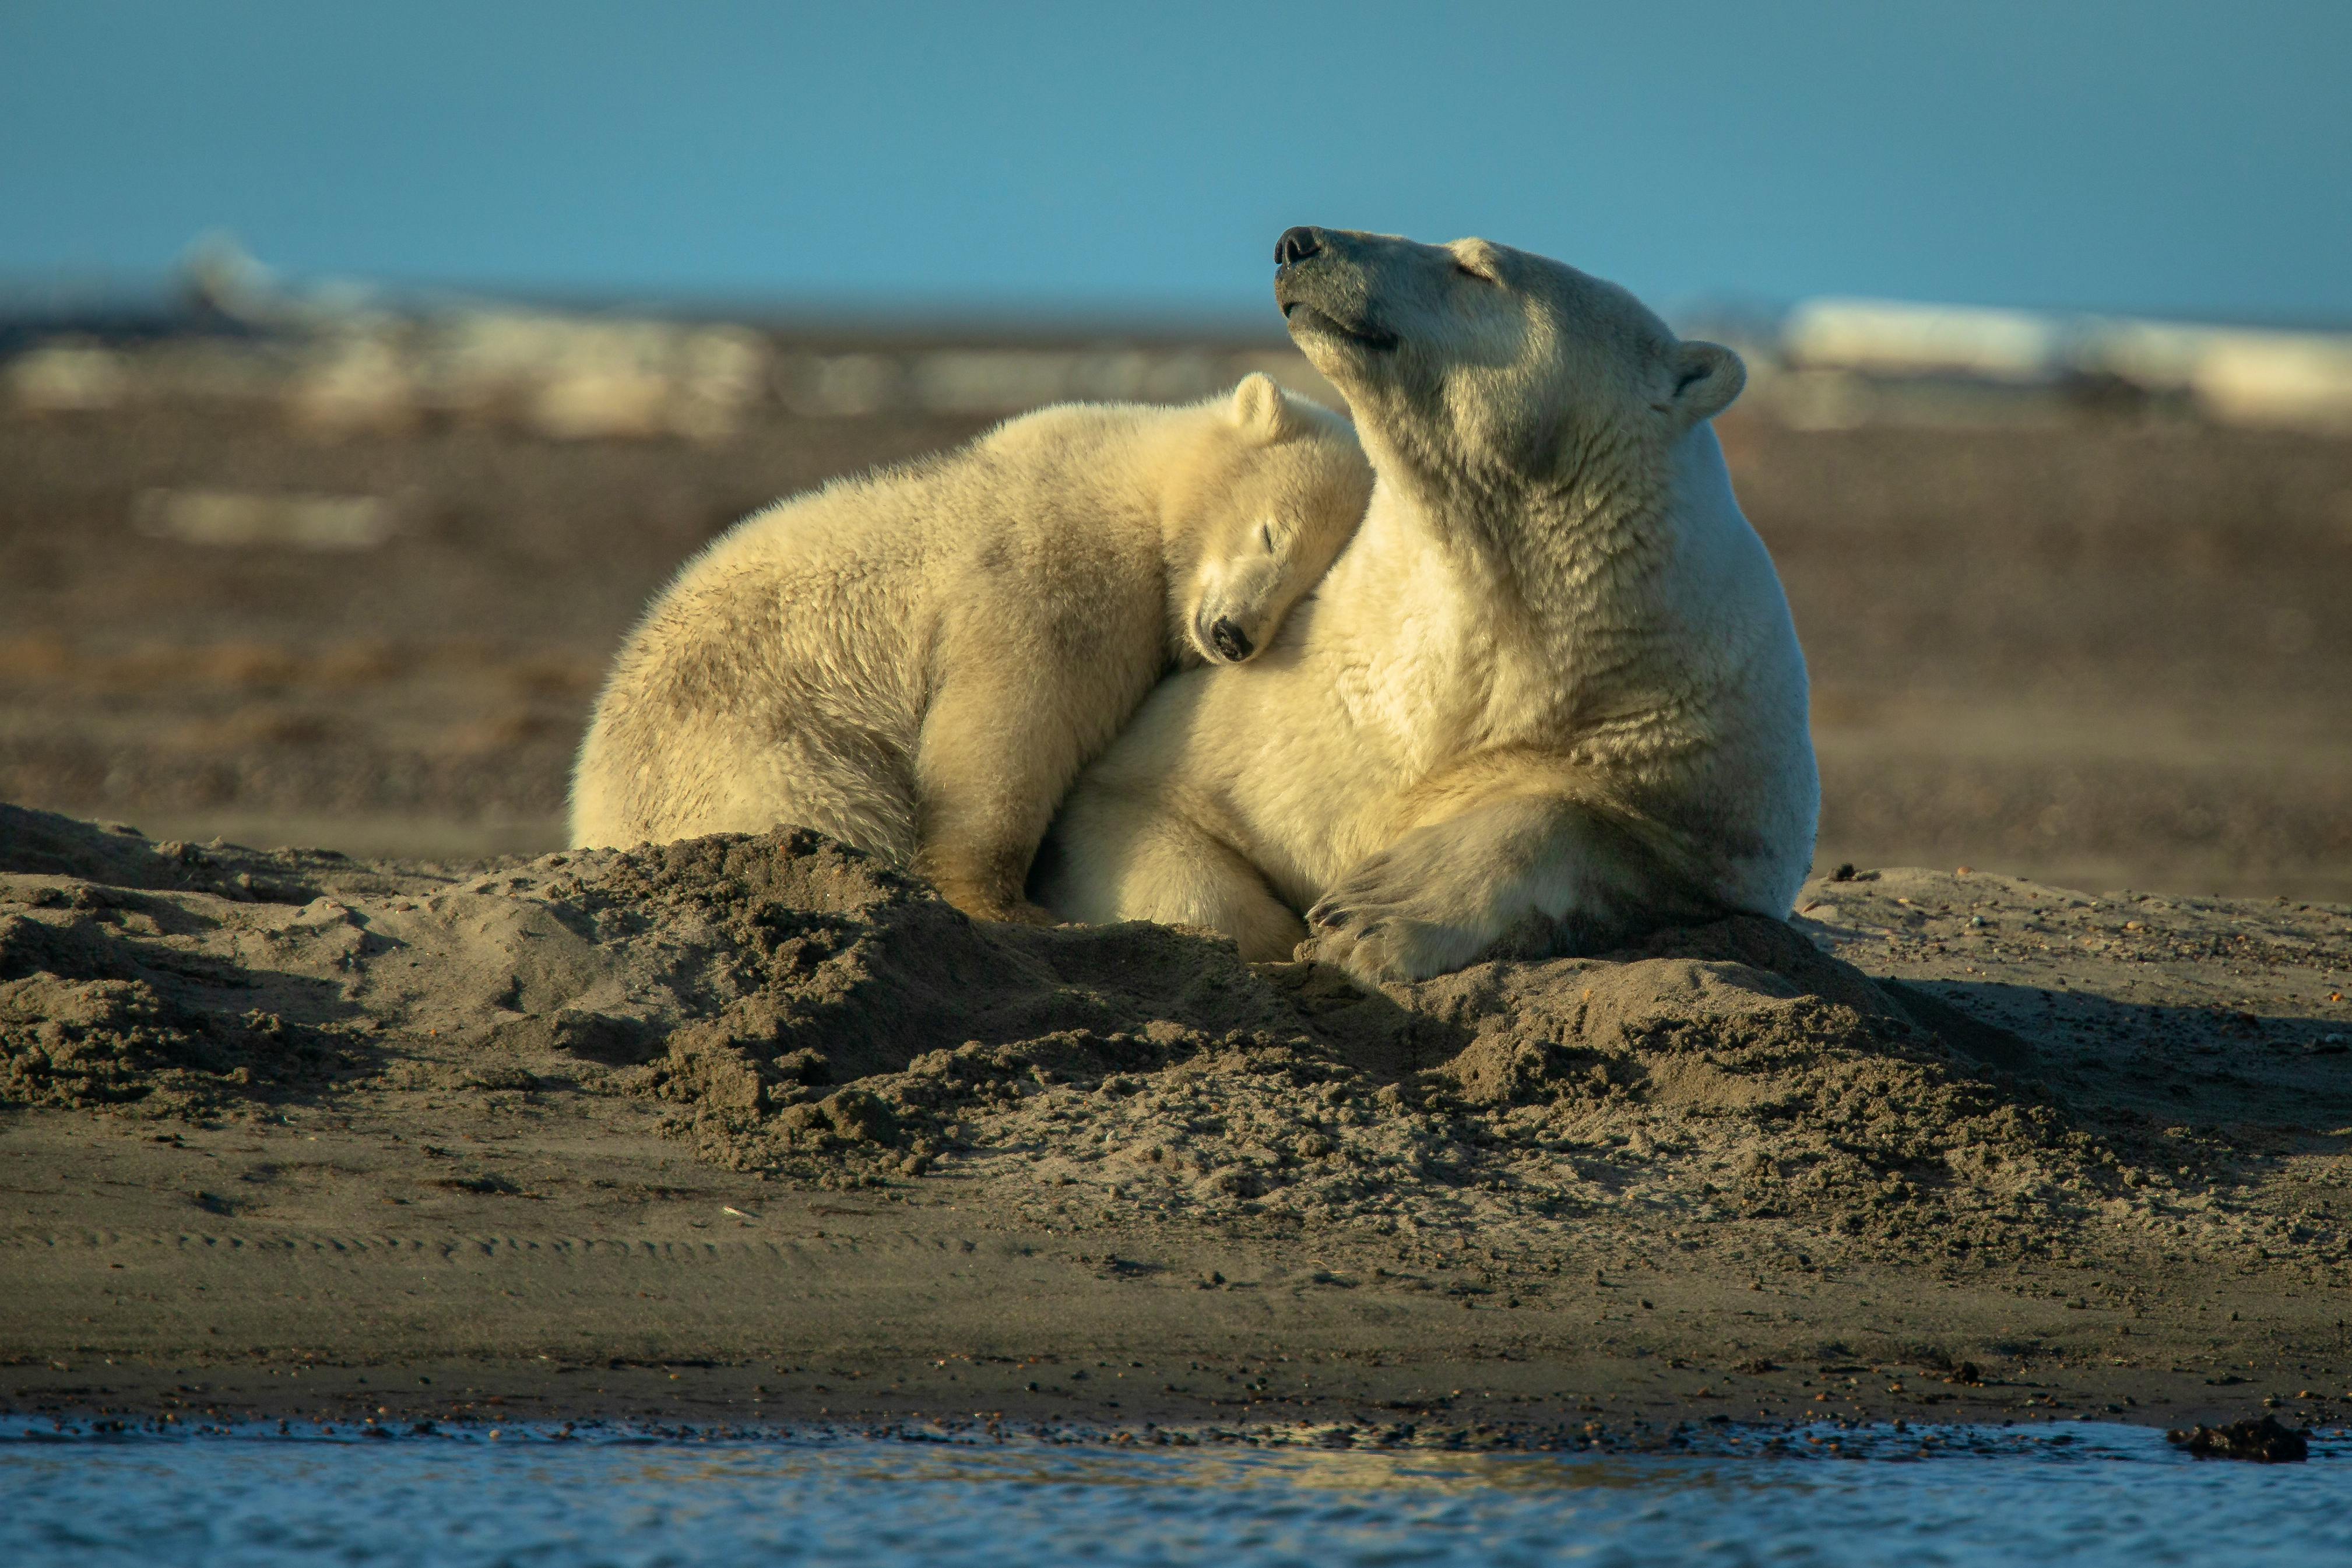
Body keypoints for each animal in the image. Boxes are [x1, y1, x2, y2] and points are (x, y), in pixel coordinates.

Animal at [569, 374, 1373, 925]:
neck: (1135, 484)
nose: (1234, 634)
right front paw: (1004, 906)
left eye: (1307, 591)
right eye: (1272, 533)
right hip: (754, 743)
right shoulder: (1047, 573)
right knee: (827, 802)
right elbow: (1008, 728)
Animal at [1032, 227, 1818, 982]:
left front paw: (1375, 911)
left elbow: (1591, 828)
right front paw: (1295, 933)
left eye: (1477, 267)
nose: (1298, 242)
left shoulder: (1703, 750)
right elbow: (1141, 806)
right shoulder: (1282, 720)